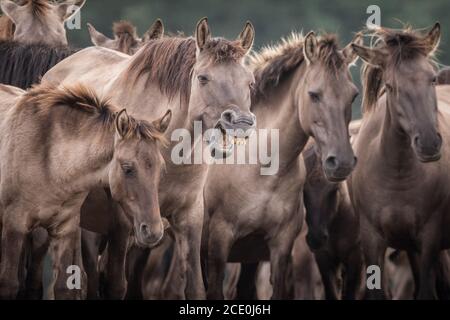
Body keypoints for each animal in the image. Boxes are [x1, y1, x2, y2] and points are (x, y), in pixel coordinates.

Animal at [0, 83, 171, 300]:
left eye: (161, 168)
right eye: (127, 168)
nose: (154, 231)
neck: (49, 160)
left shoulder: (65, 229)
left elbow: (63, 287)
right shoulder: (14, 225)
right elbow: (9, 284)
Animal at [204, 31, 362, 298]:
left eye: (353, 95)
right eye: (314, 94)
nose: (341, 162)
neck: (260, 171)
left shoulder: (280, 247)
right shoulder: (218, 245)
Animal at [350, 23, 450, 300]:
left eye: (432, 78)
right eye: (391, 86)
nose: (428, 143)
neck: (398, 175)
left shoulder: (429, 240)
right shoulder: (372, 240)